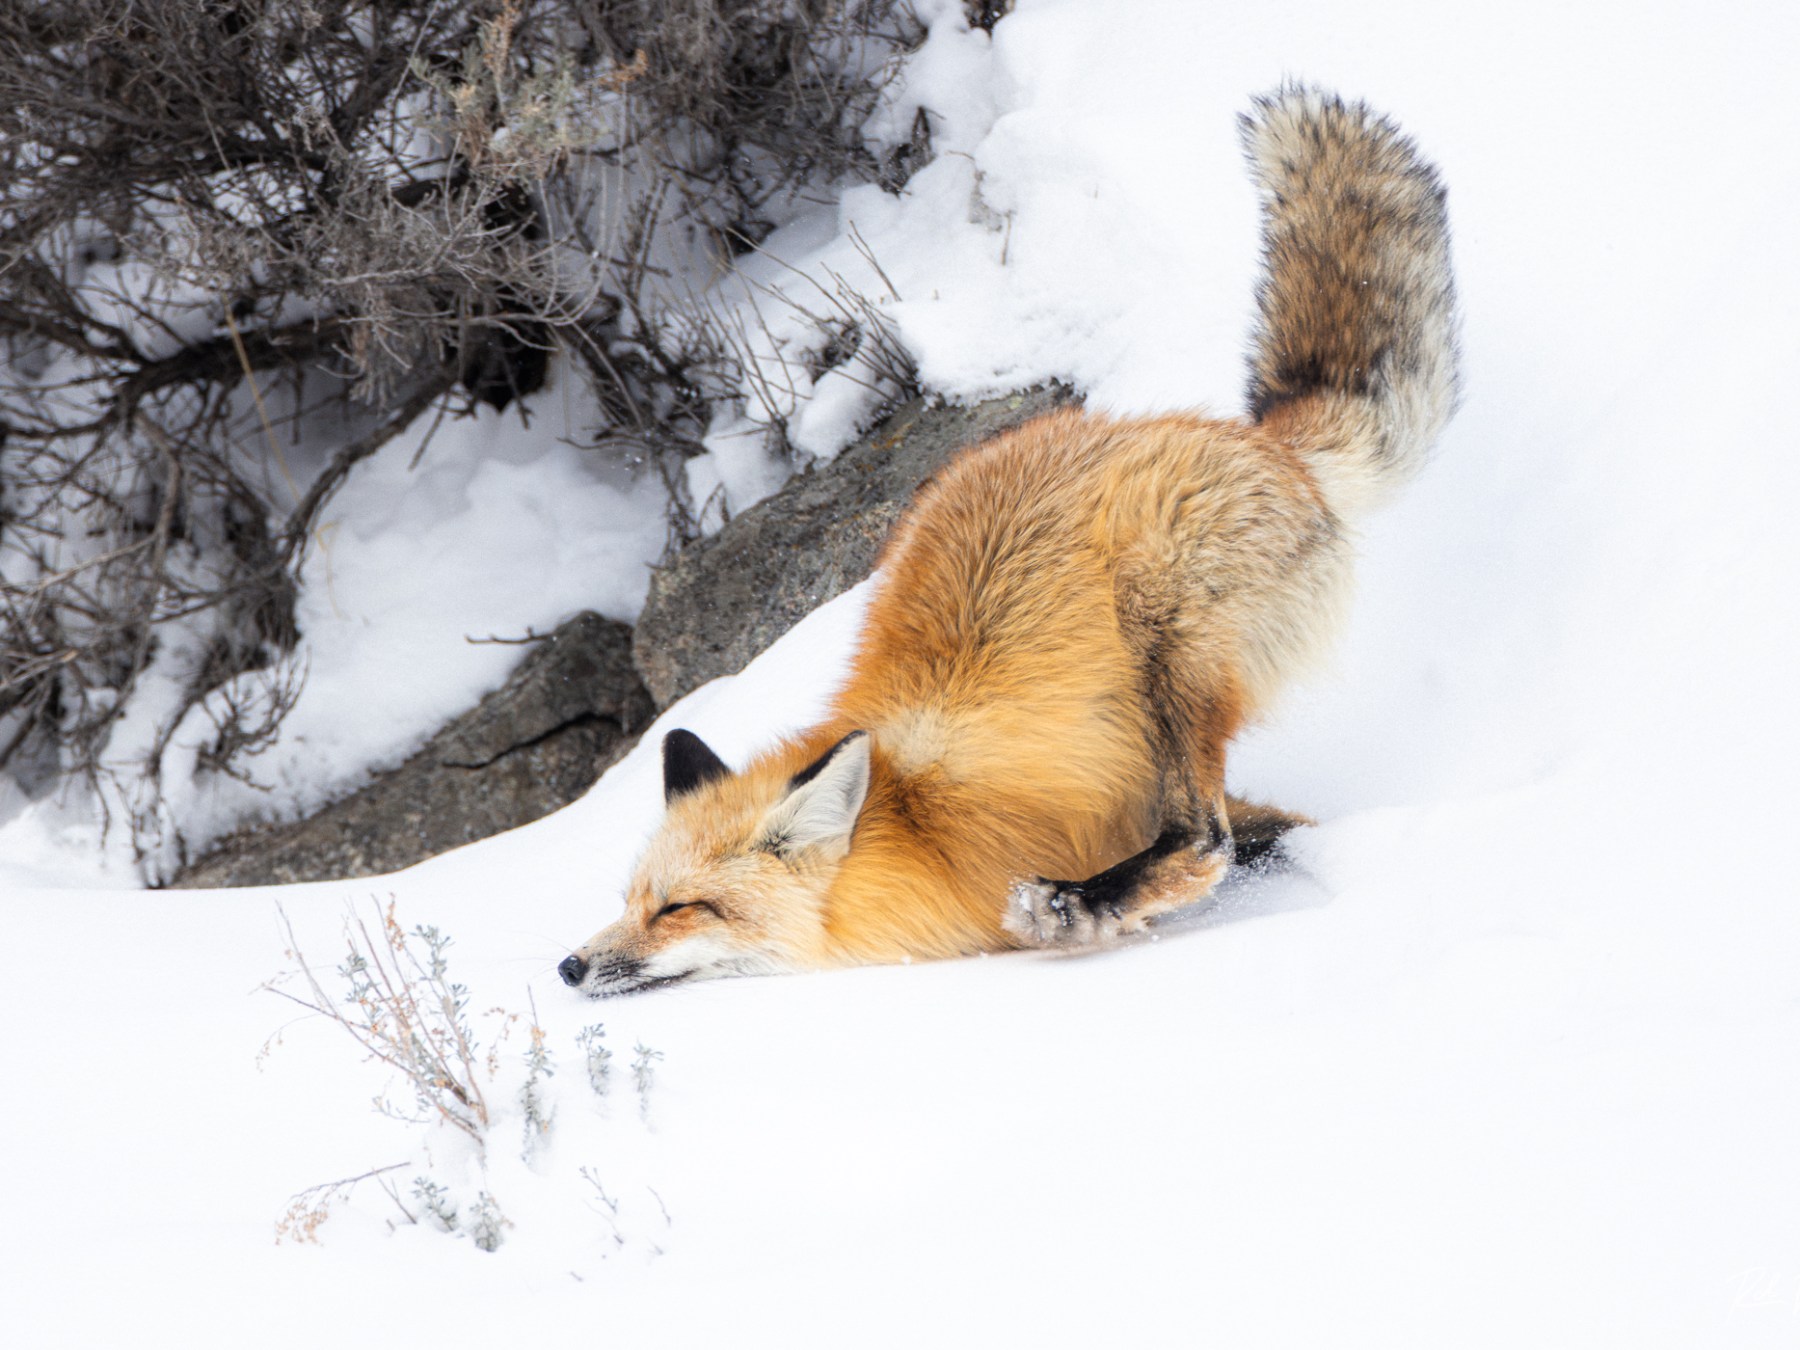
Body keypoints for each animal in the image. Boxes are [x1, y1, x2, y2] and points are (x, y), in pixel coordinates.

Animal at [558, 86, 1459, 996]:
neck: (914, 823)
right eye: (632, 899)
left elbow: (1227, 845)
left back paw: (1084, 903)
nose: (567, 965)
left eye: (683, 909)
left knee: (1204, 840)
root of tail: (1262, 441)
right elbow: (1285, 828)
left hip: (1165, 631)